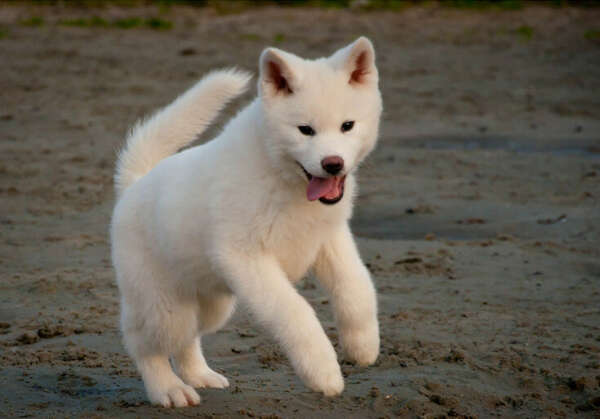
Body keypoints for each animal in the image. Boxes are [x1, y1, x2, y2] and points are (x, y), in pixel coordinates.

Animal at [110, 37, 382, 408]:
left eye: (347, 125)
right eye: (305, 130)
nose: (333, 164)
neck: (281, 176)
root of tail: (135, 183)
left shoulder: (329, 239)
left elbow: (356, 287)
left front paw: (363, 344)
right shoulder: (246, 258)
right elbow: (296, 312)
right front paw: (323, 371)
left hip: (212, 303)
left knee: (187, 340)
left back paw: (200, 376)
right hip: (163, 307)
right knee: (144, 345)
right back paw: (169, 390)